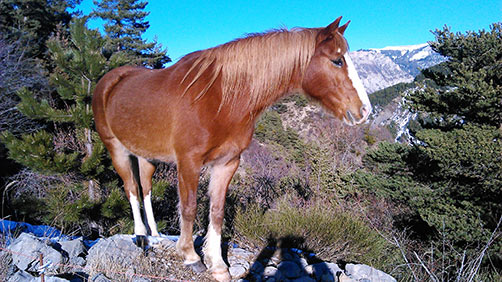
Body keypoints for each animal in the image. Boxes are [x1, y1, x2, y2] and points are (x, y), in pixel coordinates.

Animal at [92, 17, 370, 280]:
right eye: (337, 61)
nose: (365, 111)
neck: (221, 98)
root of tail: (110, 80)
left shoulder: (227, 163)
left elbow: (217, 211)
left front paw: (217, 265)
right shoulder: (189, 162)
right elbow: (189, 207)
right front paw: (191, 257)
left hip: (147, 155)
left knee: (146, 187)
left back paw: (155, 234)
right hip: (116, 149)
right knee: (130, 187)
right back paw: (140, 235)